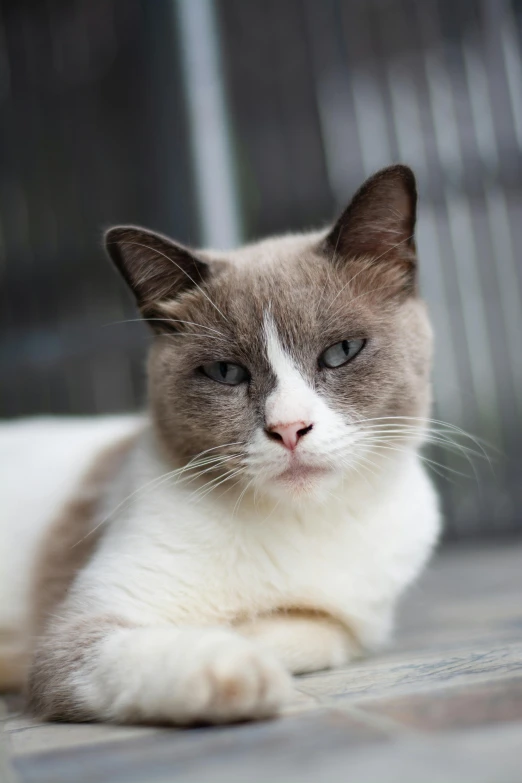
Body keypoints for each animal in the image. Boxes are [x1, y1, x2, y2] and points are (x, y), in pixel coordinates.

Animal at [0, 167, 438, 728]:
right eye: (227, 373)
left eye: (341, 352)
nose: (290, 429)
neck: (301, 524)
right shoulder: (77, 633)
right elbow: (183, 649)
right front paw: (239, 670)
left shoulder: (356, 624)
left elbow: (313, 631)